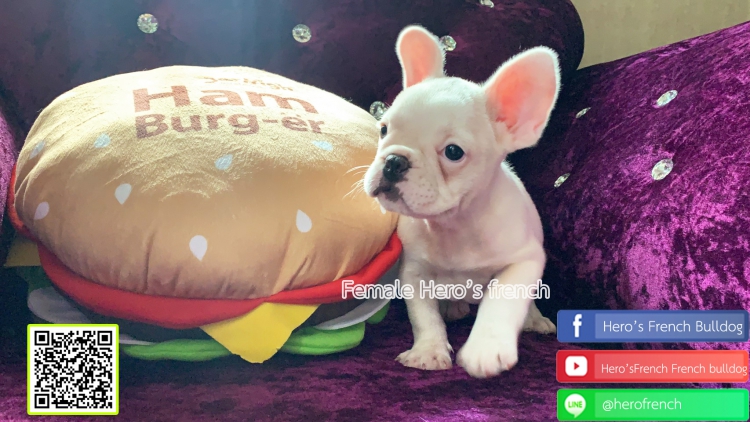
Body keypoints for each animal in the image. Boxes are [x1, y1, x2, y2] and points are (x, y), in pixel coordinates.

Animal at [363, 25, 559, 378]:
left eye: (453, 152)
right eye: (383, 129)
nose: (394, 161)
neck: (455, 225)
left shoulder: (523, 262)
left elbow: (501, 302)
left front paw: (486, 349)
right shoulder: (414, 272)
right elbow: (423, 316)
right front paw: (428, 351)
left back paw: (535, 320)